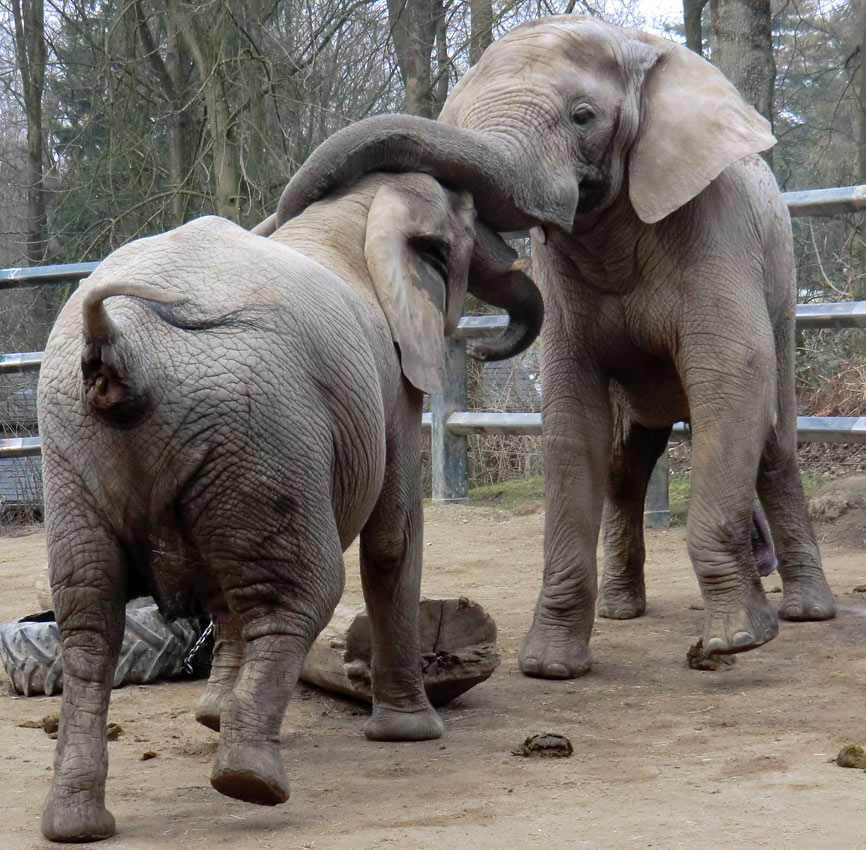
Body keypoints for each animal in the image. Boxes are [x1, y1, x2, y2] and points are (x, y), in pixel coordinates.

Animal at [40, 169, 540, 840]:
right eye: (466, 231)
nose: (487, 353)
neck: (355, 214)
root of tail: (120, 348)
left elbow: (223, 592)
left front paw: (212, 713)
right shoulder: (393, 382)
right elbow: (394, 538)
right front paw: (412, 734)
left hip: (79, 449)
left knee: (90, 619)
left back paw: (77, 825)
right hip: (260, 427)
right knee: (300, 592)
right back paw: (251, 783)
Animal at [264, 16, 836, 680]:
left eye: (583, 116)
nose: (480, 354)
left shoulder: (715, 227)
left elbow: (732, 380)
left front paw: (736, 641)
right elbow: (571, 419)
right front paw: (551, 667)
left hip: (781, 278)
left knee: (773, 438)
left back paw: (808, 612)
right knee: (625, 460)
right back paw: (621, 611)